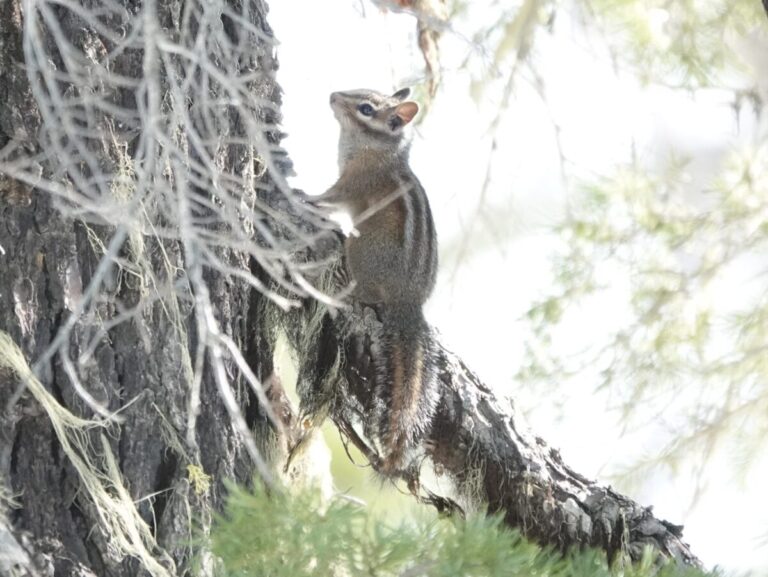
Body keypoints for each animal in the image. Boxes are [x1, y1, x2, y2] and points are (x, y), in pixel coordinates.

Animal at [315, 87, 439, 473]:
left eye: (366, 109)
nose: (332, 95)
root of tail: (407, 302)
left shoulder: (353, 182)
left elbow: (330, 197)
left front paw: (304, 196)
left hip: (360, 249)